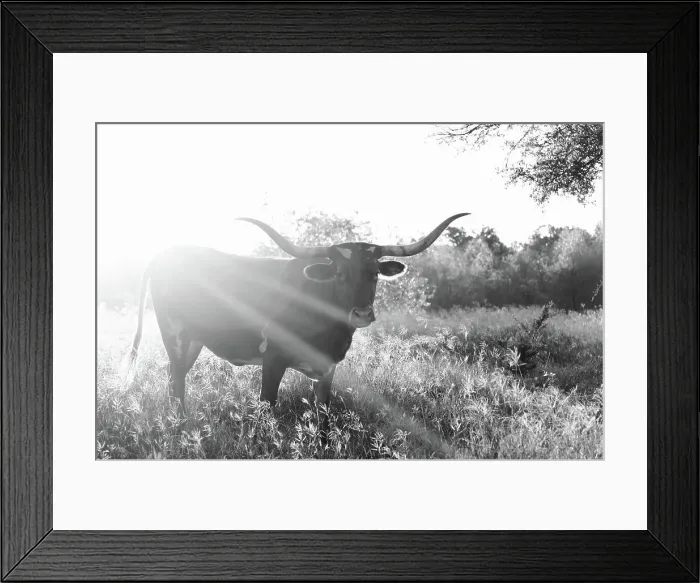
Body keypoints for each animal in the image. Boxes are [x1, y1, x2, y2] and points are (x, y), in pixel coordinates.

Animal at [128, 213, 469, 422]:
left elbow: (323, 415)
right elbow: (266, 405)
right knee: (176, 380)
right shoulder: (273, 358)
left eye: (374, 274)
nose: (361, 313)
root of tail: (163, 255)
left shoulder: (327, 368)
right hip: (175, 333)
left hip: (193, 339)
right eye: (339, 274)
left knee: (174, 375)